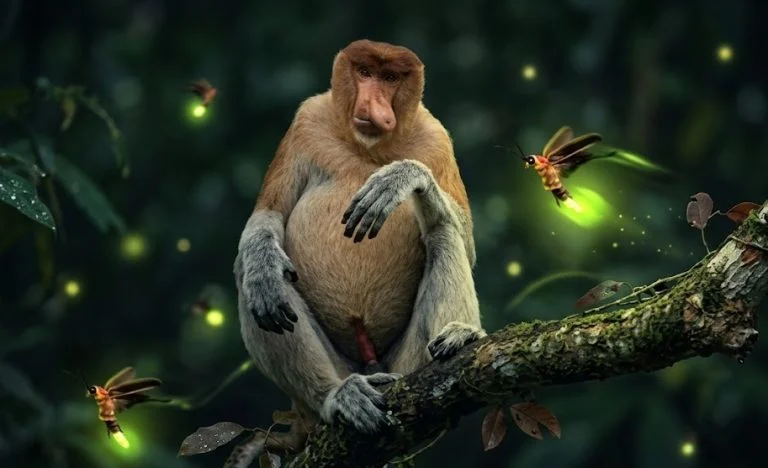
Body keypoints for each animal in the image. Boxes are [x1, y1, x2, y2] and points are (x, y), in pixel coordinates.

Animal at [234, 39, 486, 438]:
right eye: (365, 73)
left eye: (390, 77)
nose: (373, 105)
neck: (366, 147)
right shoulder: (305, 122)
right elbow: (269, 214)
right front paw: (262, 272)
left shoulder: (437, 138)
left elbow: (466, 240)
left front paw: (399, 178)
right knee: (250, 270)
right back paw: (338, 395)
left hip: (409, 362)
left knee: (443, 232)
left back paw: (460, 336)